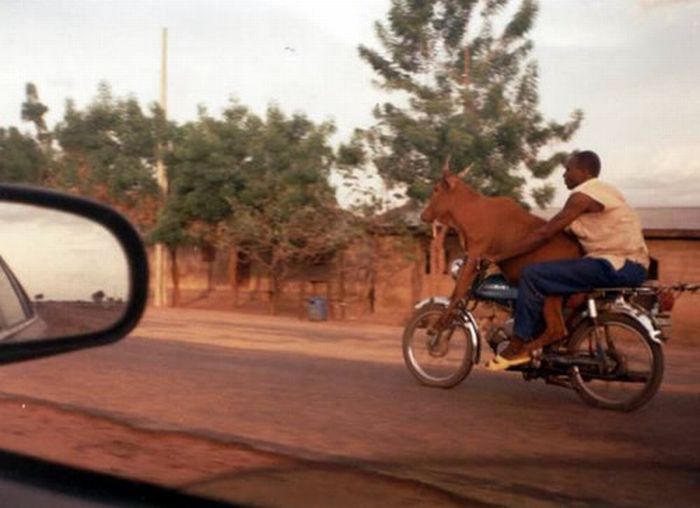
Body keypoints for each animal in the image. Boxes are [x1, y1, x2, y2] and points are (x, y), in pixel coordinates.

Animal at [422, 167, 580, 346]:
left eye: (436, 189)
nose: (423, 215)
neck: (471, 212)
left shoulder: (475, 255)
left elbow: (457, 292)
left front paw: (438, 327)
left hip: (552, 296)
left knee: (557, 329)